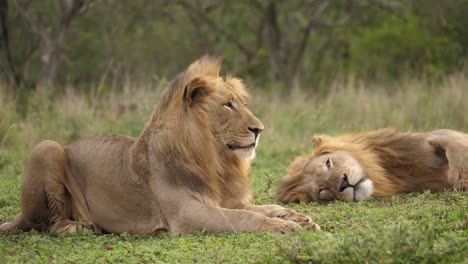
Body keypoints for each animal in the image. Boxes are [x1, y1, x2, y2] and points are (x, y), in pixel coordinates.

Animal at [0, 56, 320, 234]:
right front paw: (282, 226)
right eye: (228, 105)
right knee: (49, 223)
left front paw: (298, 217)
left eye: (242, 103)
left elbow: (264, 207)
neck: (214, 160)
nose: (259, 129)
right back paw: (75, 227)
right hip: (47, 146)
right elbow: (244, 217)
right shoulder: (187, 214)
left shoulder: (225, 199)